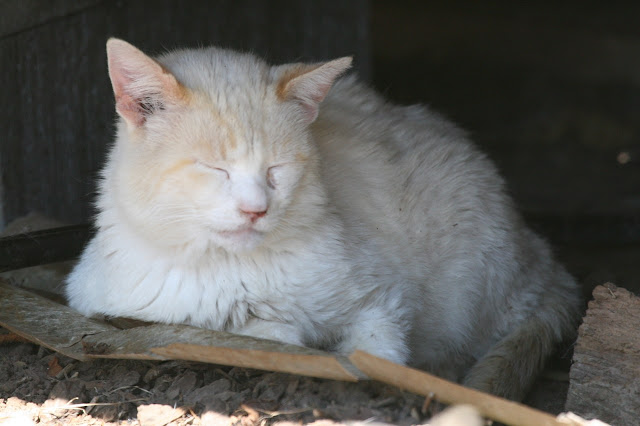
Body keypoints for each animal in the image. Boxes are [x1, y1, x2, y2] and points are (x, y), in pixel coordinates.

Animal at [66, 38, 584, 402]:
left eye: (276, 170)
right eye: (216, 169)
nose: (256, 209)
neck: (238, 271)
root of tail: (541, 254)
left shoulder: (384, 298)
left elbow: (374, 353)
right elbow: (263, 333)